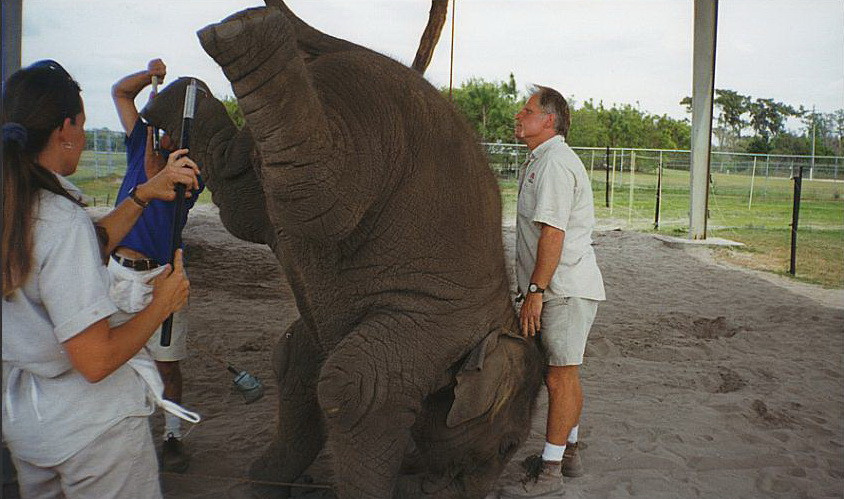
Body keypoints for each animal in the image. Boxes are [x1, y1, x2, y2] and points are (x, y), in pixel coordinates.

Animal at [142, 2, 544, 497]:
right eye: (508, 445)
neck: (503, 320)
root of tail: (348, 47)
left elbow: (296, 360)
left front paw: (264, 483)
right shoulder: (438, 323)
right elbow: (358, 388)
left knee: (245, 193)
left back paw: (180, 89)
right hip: (369, 124)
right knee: (313, 194)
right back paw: (249, 34)